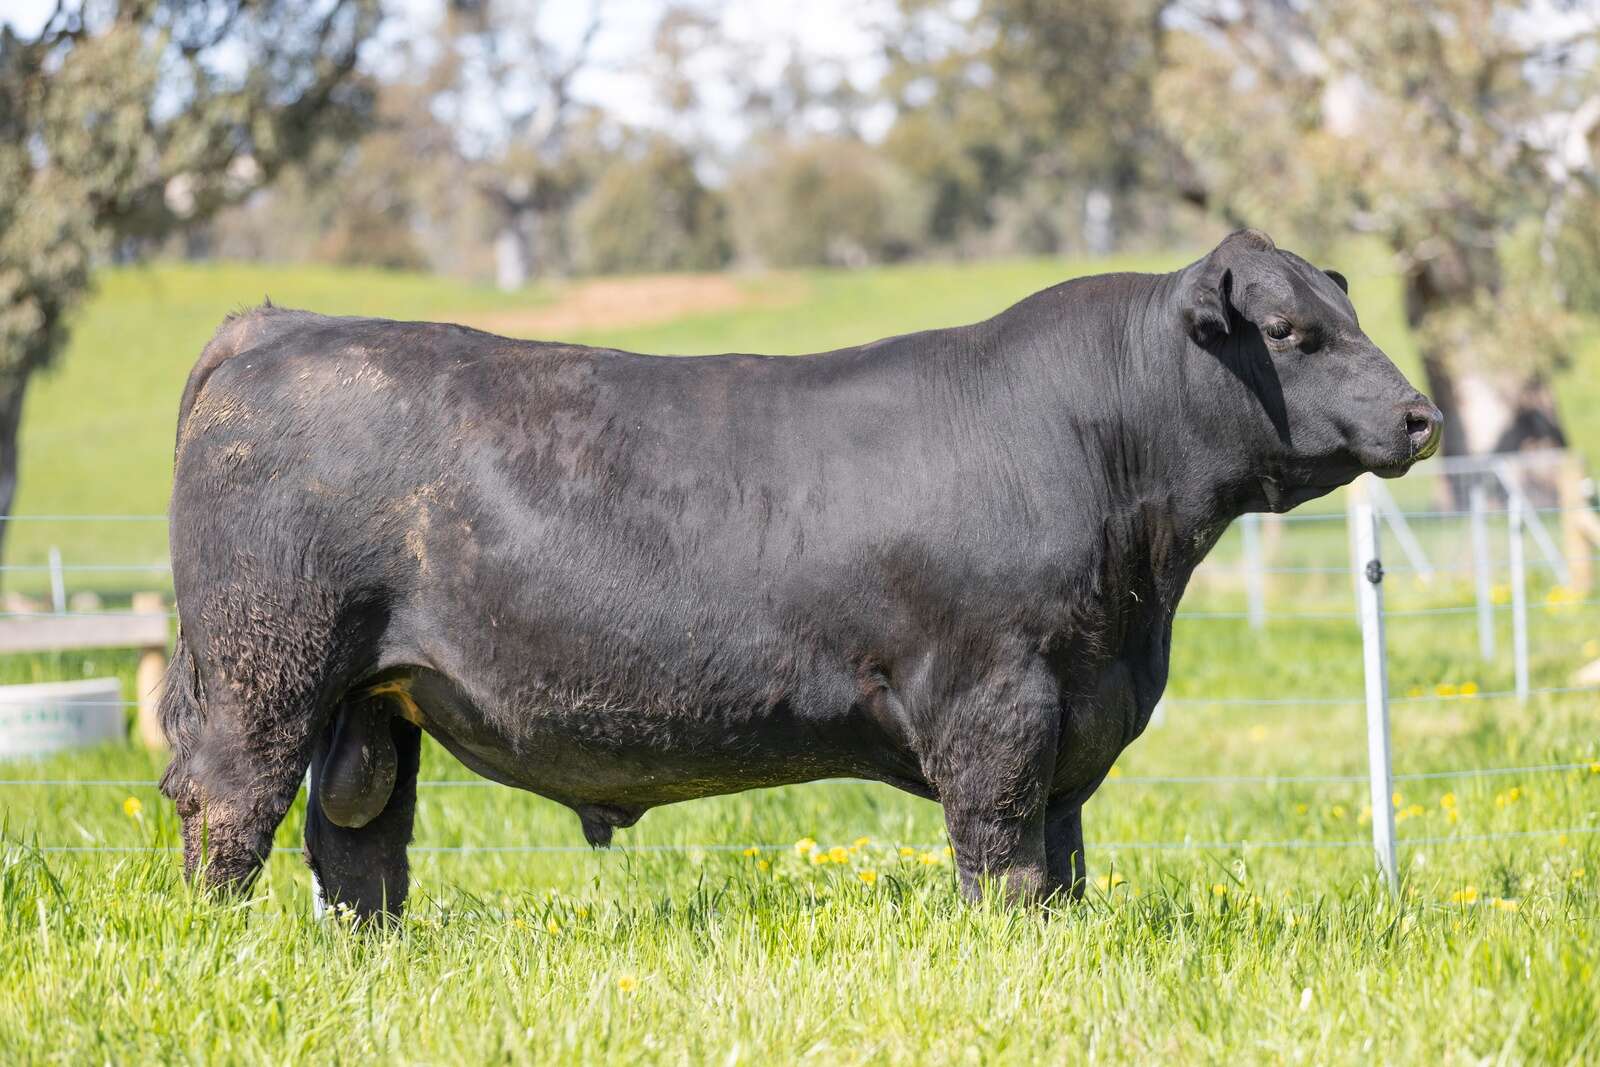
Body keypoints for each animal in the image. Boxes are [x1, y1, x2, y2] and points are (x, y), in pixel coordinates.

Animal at [158, 229, 1440, 919]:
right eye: (1291, 332)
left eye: (1345, 312)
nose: (1422, 415)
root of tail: (279, 324)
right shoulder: (998, 699)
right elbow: (1004, 851)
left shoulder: (1078, 704)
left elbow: (1061, 854)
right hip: (265, 665)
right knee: (230, 805)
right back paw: (230, 940)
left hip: (370, 695)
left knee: (358, 841)